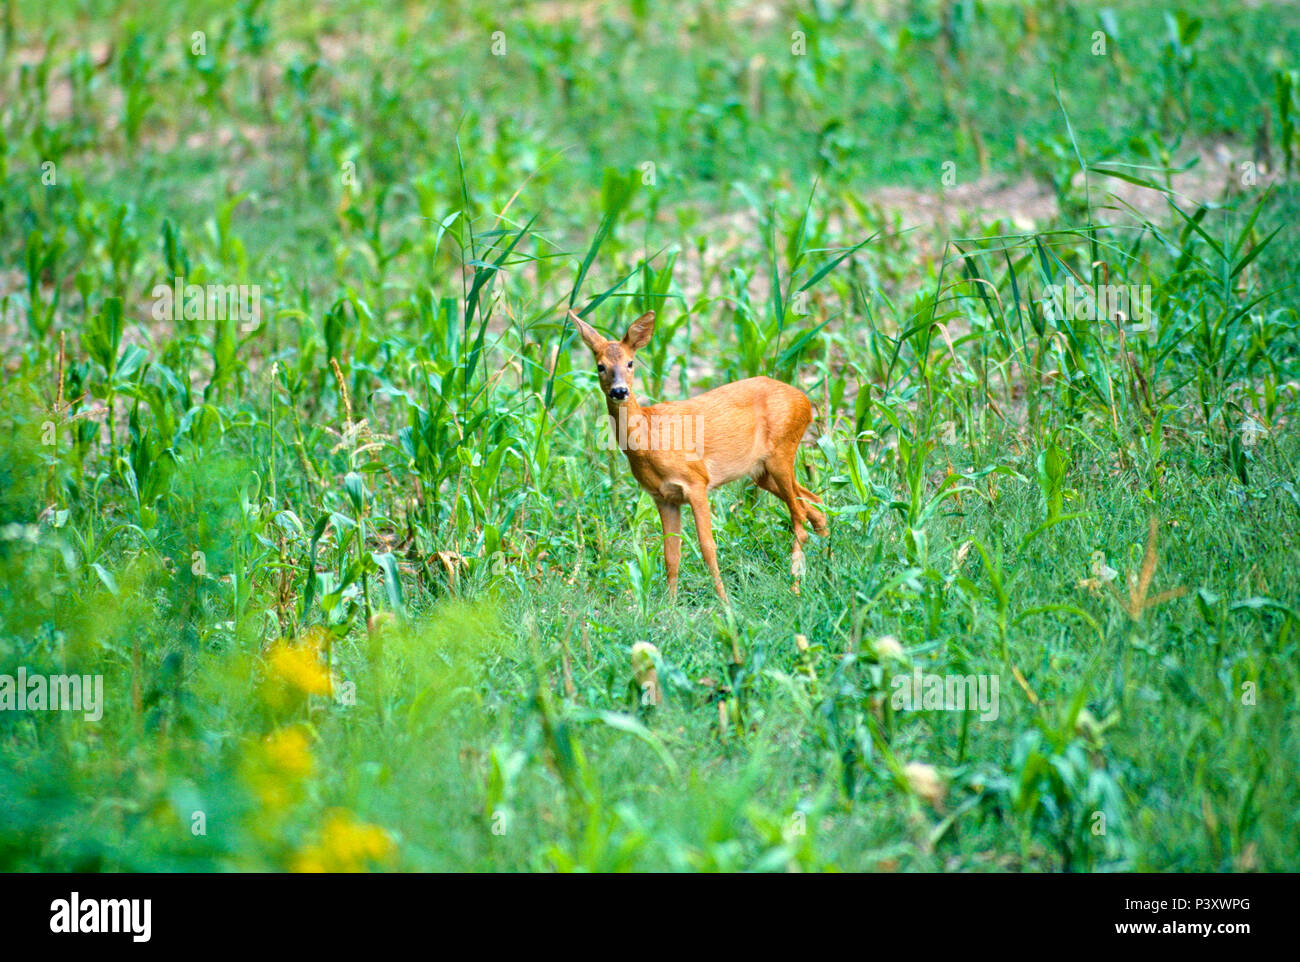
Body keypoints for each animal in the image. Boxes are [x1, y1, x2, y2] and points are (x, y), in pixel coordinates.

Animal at [566, 312, 826, 605]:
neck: (649, 439)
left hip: (782, 452)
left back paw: (796, 587)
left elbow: (707, 546)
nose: (620, 391)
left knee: (800, 518)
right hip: (762, 471)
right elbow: (671, 553)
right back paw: (827, 567)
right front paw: (670, 605)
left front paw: (725, 603)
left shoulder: (696, 482)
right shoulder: (663, 497)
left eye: (630, 362)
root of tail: (806, 402)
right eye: (600, 366)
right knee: (815, 506)